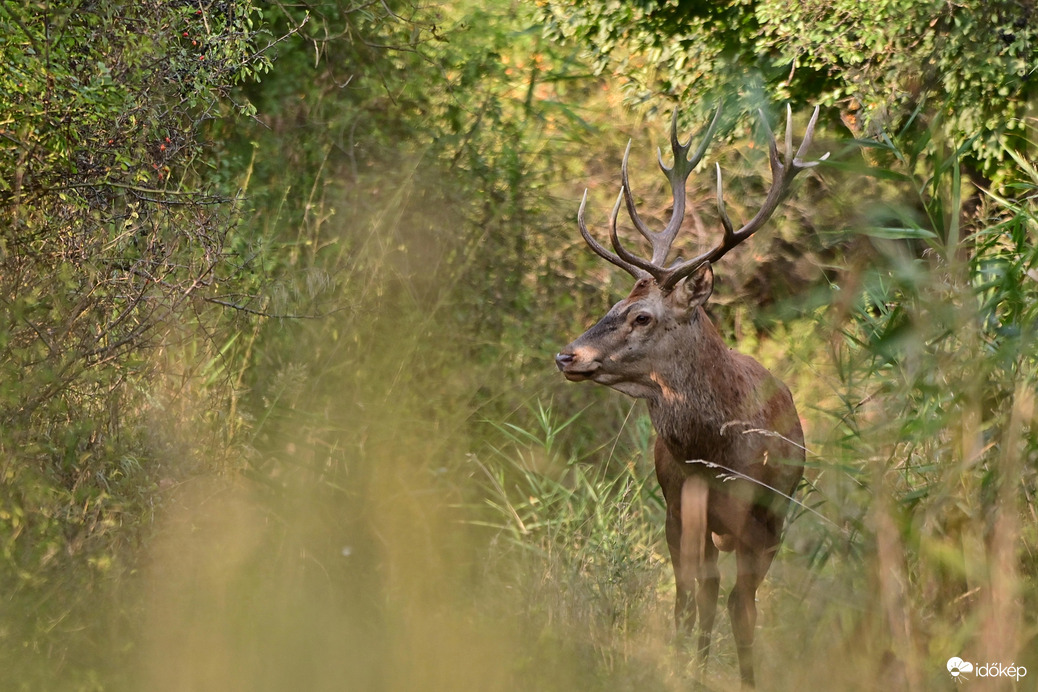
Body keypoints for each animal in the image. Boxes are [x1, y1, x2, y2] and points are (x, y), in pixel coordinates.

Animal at [556, 104, 822, 688]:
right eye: (612, 304)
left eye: (641, 316)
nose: (567, 356)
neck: (717, 454)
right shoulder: (679, 509)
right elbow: (695, 600)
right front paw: (687, 670)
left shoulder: (767, 521)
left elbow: (743, 610)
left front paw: (747, 679)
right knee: (697, 595)